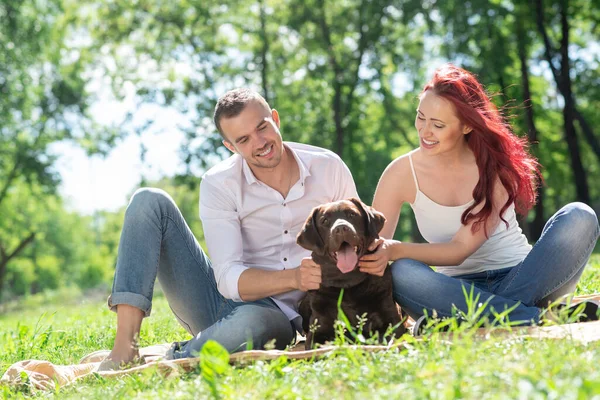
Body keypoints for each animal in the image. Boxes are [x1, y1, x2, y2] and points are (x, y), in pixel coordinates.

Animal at [296, 198, 406, 348]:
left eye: (352, 215)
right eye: (324, 221)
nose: (341, 228)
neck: (347, 280)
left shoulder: (392, 319)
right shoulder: (318, 330)